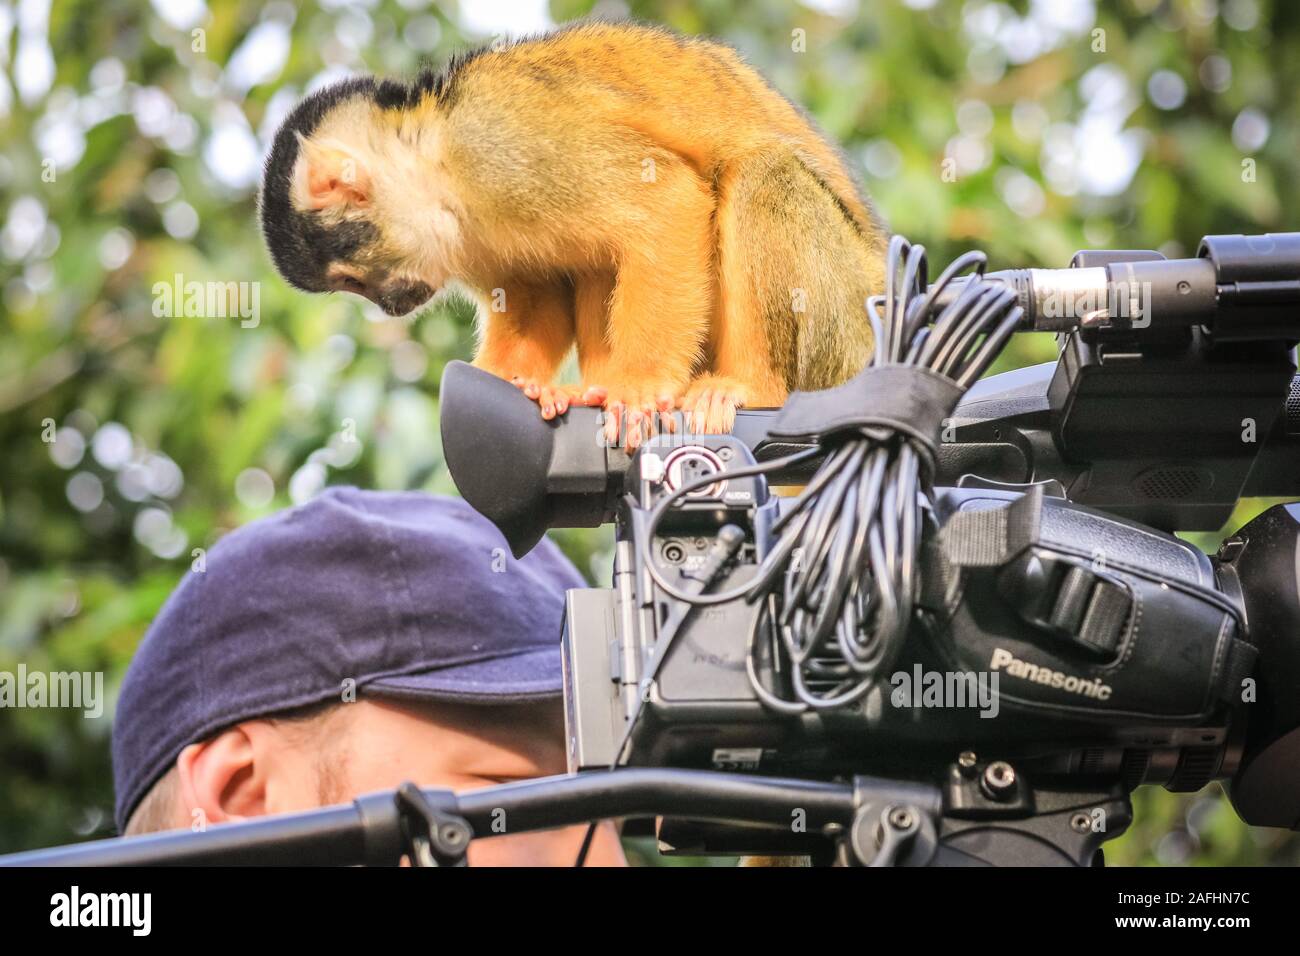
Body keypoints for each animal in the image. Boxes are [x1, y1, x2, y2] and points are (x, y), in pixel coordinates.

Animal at [258, 22, 889, 447]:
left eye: (352, 280)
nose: (387, 305)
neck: (437, 157)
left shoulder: (502, 145)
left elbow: (665, 199)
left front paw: (638, 387)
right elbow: (536, 300)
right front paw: (515, 385)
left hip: (849, 330)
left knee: (763, 173)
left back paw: (749, 387)